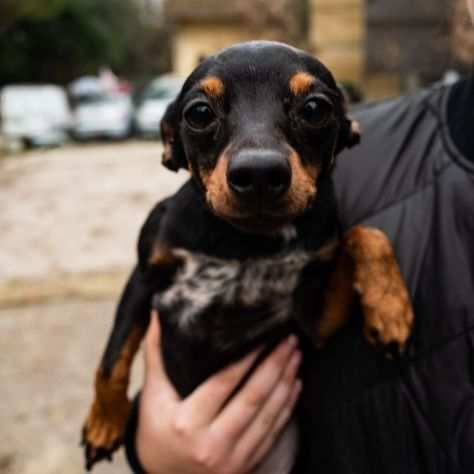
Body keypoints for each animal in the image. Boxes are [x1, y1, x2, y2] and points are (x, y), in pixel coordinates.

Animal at [82, 42, 414, 472]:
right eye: (199, 113)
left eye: (315, 109)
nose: (258, 174)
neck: (246, 243)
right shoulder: (143, 277)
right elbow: (112, 360)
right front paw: (103, 425)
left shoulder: (312, 321)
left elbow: (366, 233)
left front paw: (390, 308)